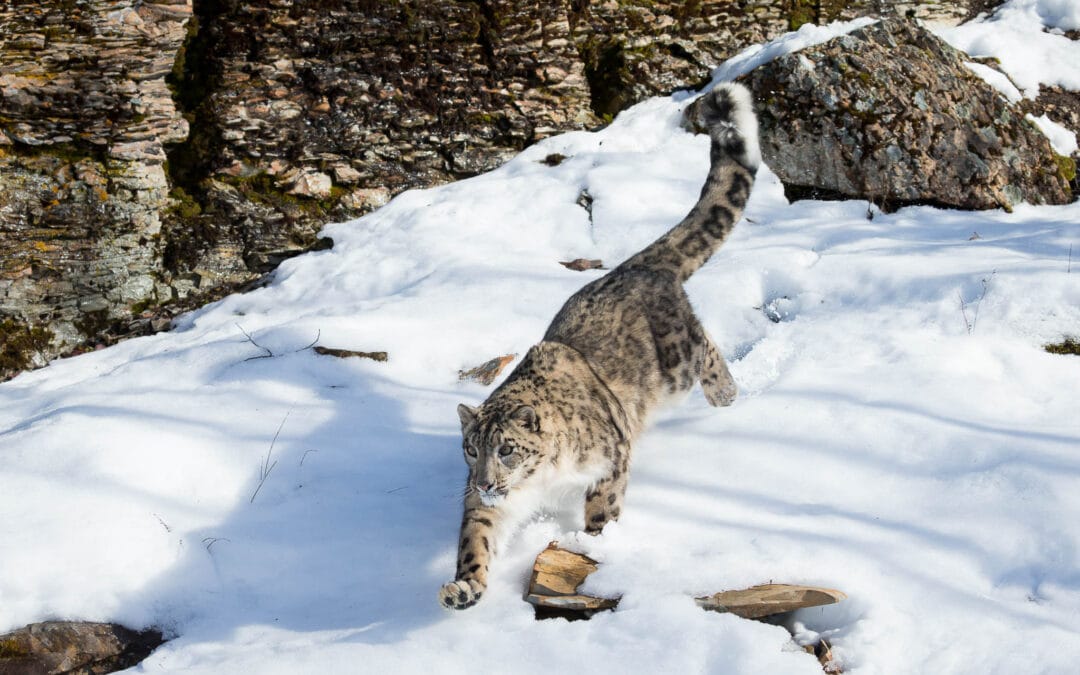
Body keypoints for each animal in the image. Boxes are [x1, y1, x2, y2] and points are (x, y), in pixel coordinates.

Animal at [439, 82, 760, 610]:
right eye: (470, 448)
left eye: (506, 448)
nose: (485, 481)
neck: (542, 482)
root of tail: (634, 265)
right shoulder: (487, 507)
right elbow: (476, 539)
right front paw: (464, 587)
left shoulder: (611, 458)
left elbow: (603, 508)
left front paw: (593, 546)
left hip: (677, 363)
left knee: (707, 347)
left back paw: (726, 398)